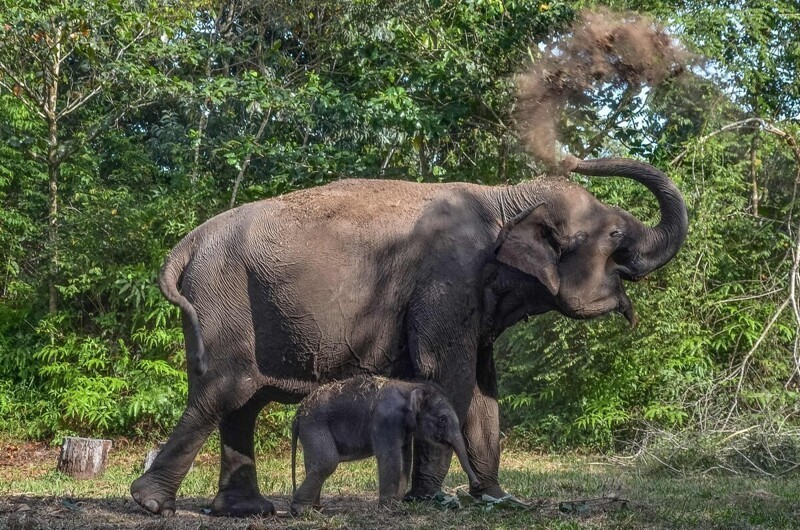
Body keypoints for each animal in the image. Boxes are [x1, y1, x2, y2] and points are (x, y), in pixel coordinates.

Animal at [290, 374, 478, 510]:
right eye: (442, 420)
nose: (475, 484)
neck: (410, 386)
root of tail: (299, 412)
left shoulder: (403, 427)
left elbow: (405, 459)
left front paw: (397, 503)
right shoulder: (386, 419)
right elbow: (390, 457)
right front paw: (389, 507)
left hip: (311, 430)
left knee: (314, 463)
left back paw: (316, 508)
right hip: (315, 425)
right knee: (327, 462)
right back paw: (300, 510)